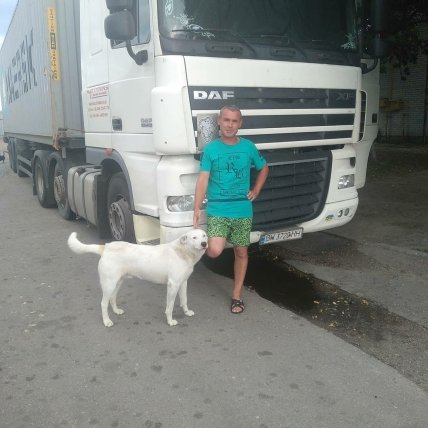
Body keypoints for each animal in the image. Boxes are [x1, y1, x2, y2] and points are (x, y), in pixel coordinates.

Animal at [67, 229, 208, 327]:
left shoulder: (183, 283)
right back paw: (106, 321)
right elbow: (170, 307)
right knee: (103, 303)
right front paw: (170, 321)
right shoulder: (173, 285)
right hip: (109, 284)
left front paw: (186, 312)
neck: (182, 252)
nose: (204, 243)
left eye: (204, 235)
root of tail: (106, 246)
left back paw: (116, 311)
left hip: (117, 282)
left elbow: (184, 300)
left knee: (112, 298)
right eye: (194, 237)